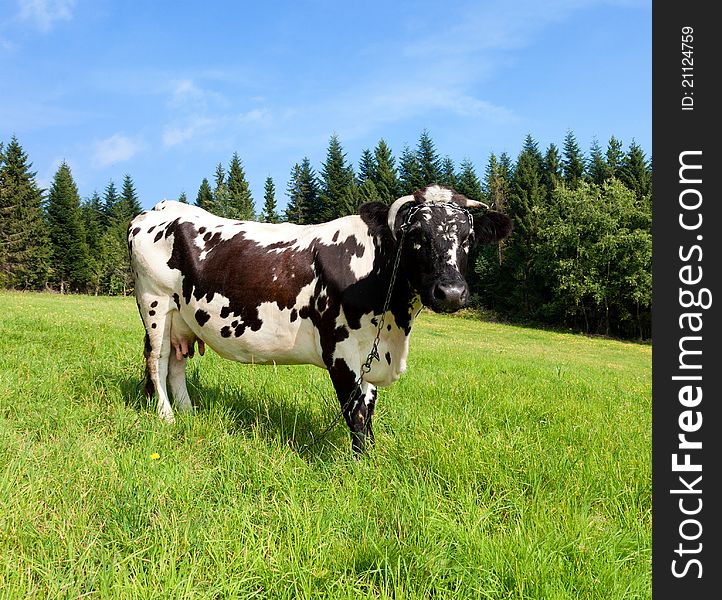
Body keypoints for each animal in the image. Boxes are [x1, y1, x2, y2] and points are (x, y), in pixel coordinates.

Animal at [128, 185, 512, 452]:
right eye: (416, 235)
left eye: (468, 237)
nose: (451, 292)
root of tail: (161, 208)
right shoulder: (340, 350)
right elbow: (355, 412)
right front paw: (362, 467)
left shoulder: (369, 350)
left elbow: (368, 408)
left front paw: (372, 456)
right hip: (155, 303)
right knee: (157, 360)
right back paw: (166, 417)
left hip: (181, 319)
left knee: (177, 363)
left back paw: (188, 414)